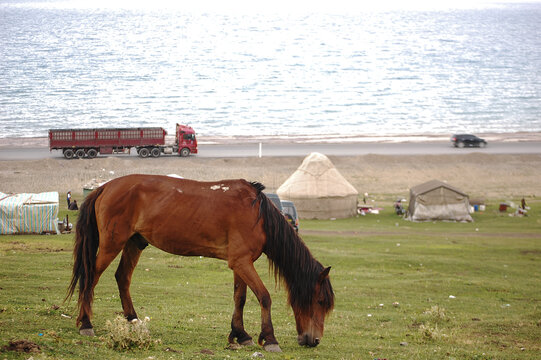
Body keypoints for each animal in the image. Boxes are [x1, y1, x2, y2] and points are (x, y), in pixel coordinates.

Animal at [65, 174, 332, 352]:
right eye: (319, 301)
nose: (315, 340)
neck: (257, 214)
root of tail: (105, 187)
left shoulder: (240, 264)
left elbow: (240, 298)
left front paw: (240, 334)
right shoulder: (242, 263)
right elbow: (264, 297)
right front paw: (270, 339)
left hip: (134, 243)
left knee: (122, 277)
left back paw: (132, 319)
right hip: (112, 244)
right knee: (91, 278)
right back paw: (85, 323)